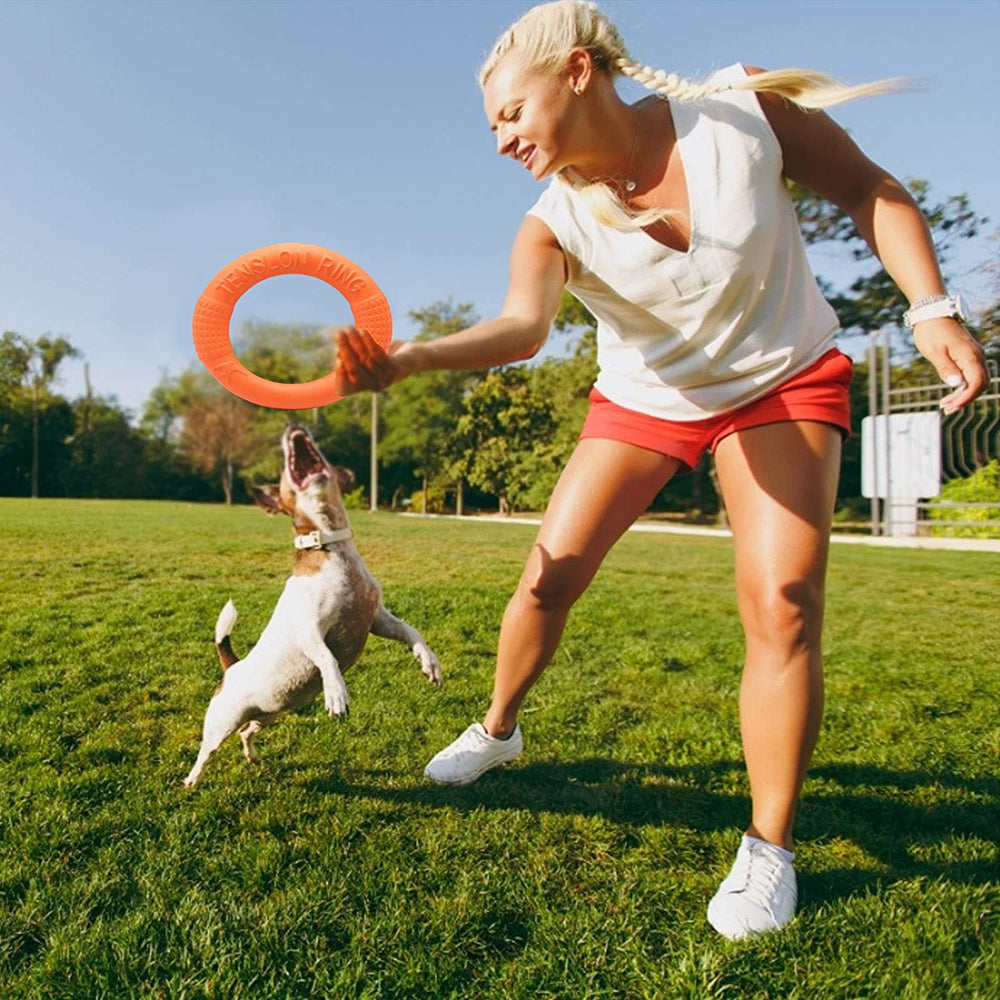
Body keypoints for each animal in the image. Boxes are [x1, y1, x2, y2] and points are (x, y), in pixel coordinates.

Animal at [184, 422, 442, 788]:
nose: (293, 424)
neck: (331, 547)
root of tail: (232, 666)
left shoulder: (377, 619)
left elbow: (411, 631)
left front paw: (429, 662)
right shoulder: (310, 630)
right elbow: (326, 657)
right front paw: (336, 693)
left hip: (269, 714)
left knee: (247, 732)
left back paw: (253, 757)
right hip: (222, 722)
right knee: (207, 751)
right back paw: (191, 779)